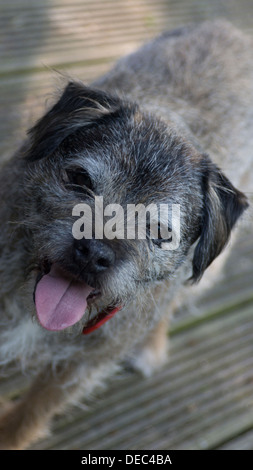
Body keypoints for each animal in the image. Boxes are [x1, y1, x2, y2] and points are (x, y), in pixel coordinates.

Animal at [0, 20, 252, 450]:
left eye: (158, 231)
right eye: (79, 179)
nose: (93, 252)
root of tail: (233, 30)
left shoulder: (81, 366)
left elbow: (33, 411)